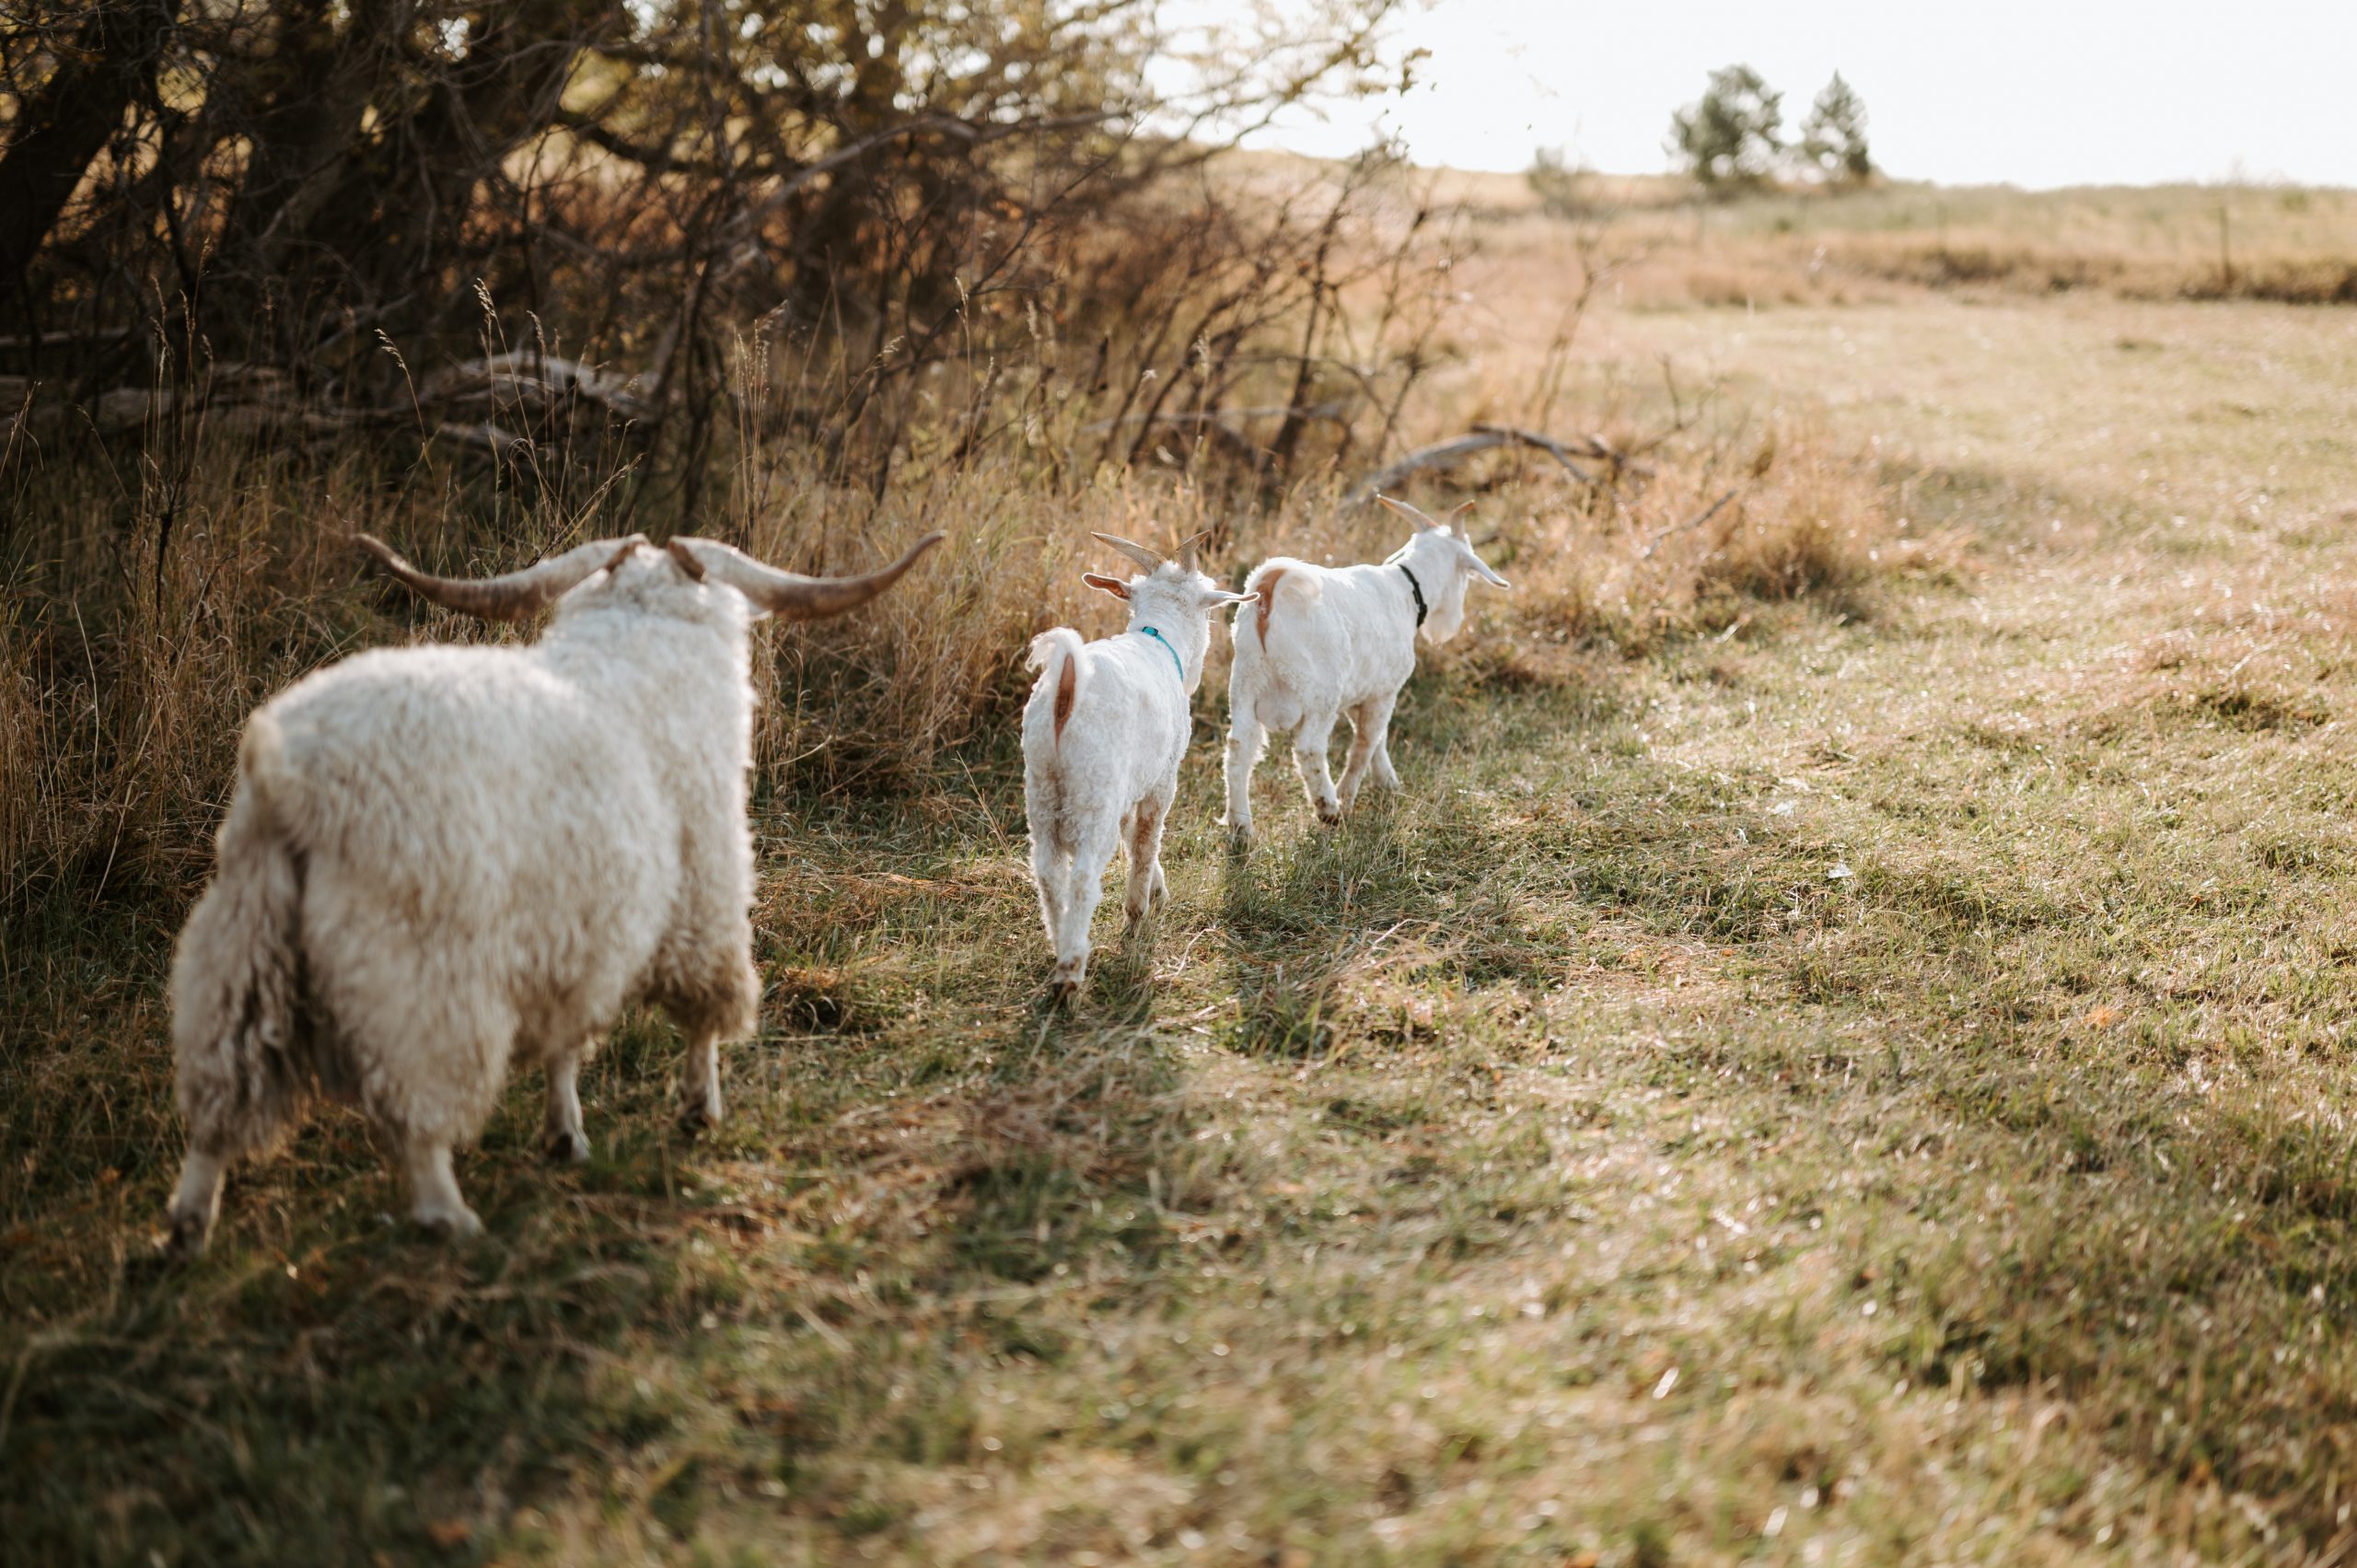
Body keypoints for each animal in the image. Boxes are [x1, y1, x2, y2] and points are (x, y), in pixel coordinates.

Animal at [166, 523, 943, 1245]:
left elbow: (565, 1040)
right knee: (416, 1110)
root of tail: (291, 776)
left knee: (218, 1100)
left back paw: (187, 1226)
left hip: (243, 947)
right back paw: (447, 1213)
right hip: (418, 976)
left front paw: (565, 1134)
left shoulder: (574, 927)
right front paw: (698, 1109)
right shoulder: (703, 892)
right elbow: (702, 1014)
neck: (636, 649)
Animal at [1023, 526, 1263, 990]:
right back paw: (1071, 971)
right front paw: (1139, 912)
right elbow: (1147, 838)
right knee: (1083, 876)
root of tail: (1066, 688)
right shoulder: (1161, 779)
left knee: (1048, 873)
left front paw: (1156, 890)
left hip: (1041, 790)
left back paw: (1060, 944)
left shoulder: (1130, 781)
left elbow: (1131, 835)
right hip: (1092, 791)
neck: (1156, 638)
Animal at [1215, 493, 1508, 843]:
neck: (1408, 589)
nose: (1451, 626)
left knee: (1239, 747)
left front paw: (1388, 782)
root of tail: (1269, 593)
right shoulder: (1384, 691)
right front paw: (1350, 795)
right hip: (1319, 694)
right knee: (1309, 749)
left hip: (1244, 684)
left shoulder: (1362, 692)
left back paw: (1241, 827)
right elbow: (1365, 744)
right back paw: (1328, 808)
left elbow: (1375, 738)